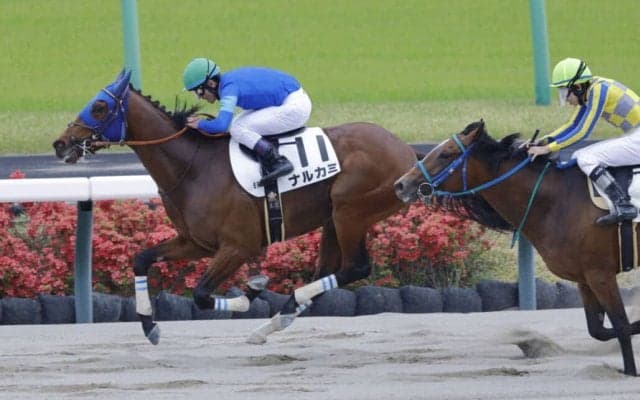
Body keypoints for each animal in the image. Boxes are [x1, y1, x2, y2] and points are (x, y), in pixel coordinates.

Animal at [53, 70, 418, 344]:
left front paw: (250, 291)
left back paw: (281, 310)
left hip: (351, 212)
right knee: (328, 271)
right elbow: (141, 259)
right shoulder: (196, 242)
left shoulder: (238, 247)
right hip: (333, 218)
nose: (60, 144)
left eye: (99, 107)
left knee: (355, 268)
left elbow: (201, 294)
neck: (194, 167)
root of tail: (407, 152)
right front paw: (148, 325)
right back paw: (274, 321)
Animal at [393, 120, 640, 376]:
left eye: (446, 153)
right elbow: (598, 330)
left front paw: (631, 371)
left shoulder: (600, 273)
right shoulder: (584, 277)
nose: (401, 184)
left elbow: (621, 326)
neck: (559, 199)